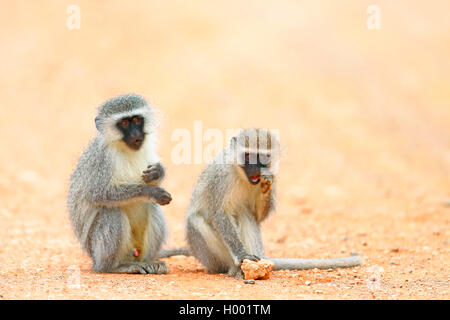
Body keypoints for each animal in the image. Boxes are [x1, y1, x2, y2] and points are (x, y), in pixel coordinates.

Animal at [67, 94, 172, 274]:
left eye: (136, 120)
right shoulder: (102, 159)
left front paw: (158, 172)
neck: (125, 148)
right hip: (98, 251)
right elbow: (99, 193)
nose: (136, 134)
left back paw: (148, 261)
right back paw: (115, 267)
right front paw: (151, 192)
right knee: (112, 211)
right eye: (123, 123)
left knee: (152, 207)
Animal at [172, 127, 362, 278]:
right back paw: (236, 267)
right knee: (196, 220)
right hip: (208, 256)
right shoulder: (220, 176)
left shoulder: (273, 176)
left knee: (245, 214)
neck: (241, 175)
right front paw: (242, 255)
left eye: (263, 158)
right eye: (248, 156)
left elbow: (257, 216)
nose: (256, 170)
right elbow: (219, 213)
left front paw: (266, 186)